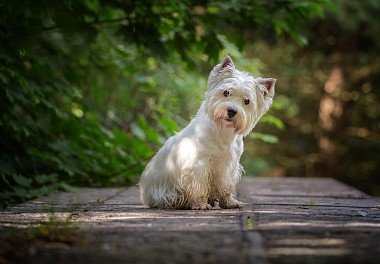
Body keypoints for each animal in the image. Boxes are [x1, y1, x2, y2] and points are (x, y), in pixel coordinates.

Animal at [138, 55, 274, 210]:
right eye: (226, 92)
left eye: (247, 101)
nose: (232, 111)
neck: (222, 132)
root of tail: (144, 193)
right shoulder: (199, 163)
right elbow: (199, 185)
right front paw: (201, 204)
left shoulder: (229, 165)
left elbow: (226, 185)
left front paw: (230, 202)